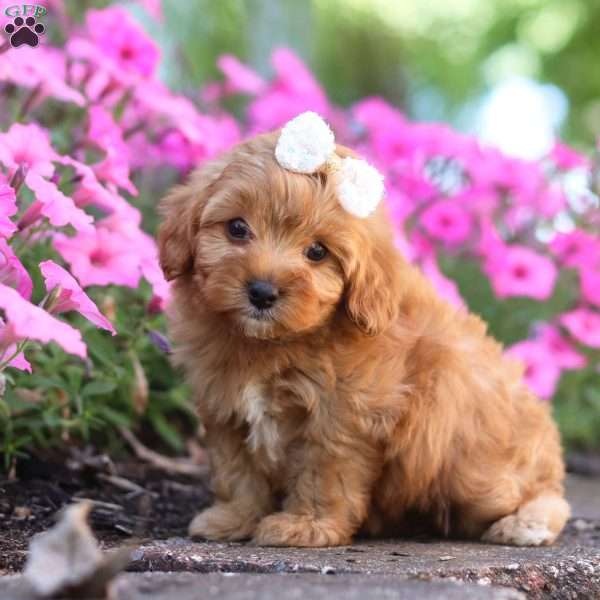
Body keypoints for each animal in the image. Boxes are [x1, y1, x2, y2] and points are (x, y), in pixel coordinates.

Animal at [157, 131, 568, 548]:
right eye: (237, 228)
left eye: (317, 251)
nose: (262, 292)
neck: (275, 342)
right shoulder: (225, 406)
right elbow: (237, 469)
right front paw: (233, 518)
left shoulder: (343, 414)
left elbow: (323, 471)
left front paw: (306, 525)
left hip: (465, 453)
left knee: (538, 492)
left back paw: (525, 523)